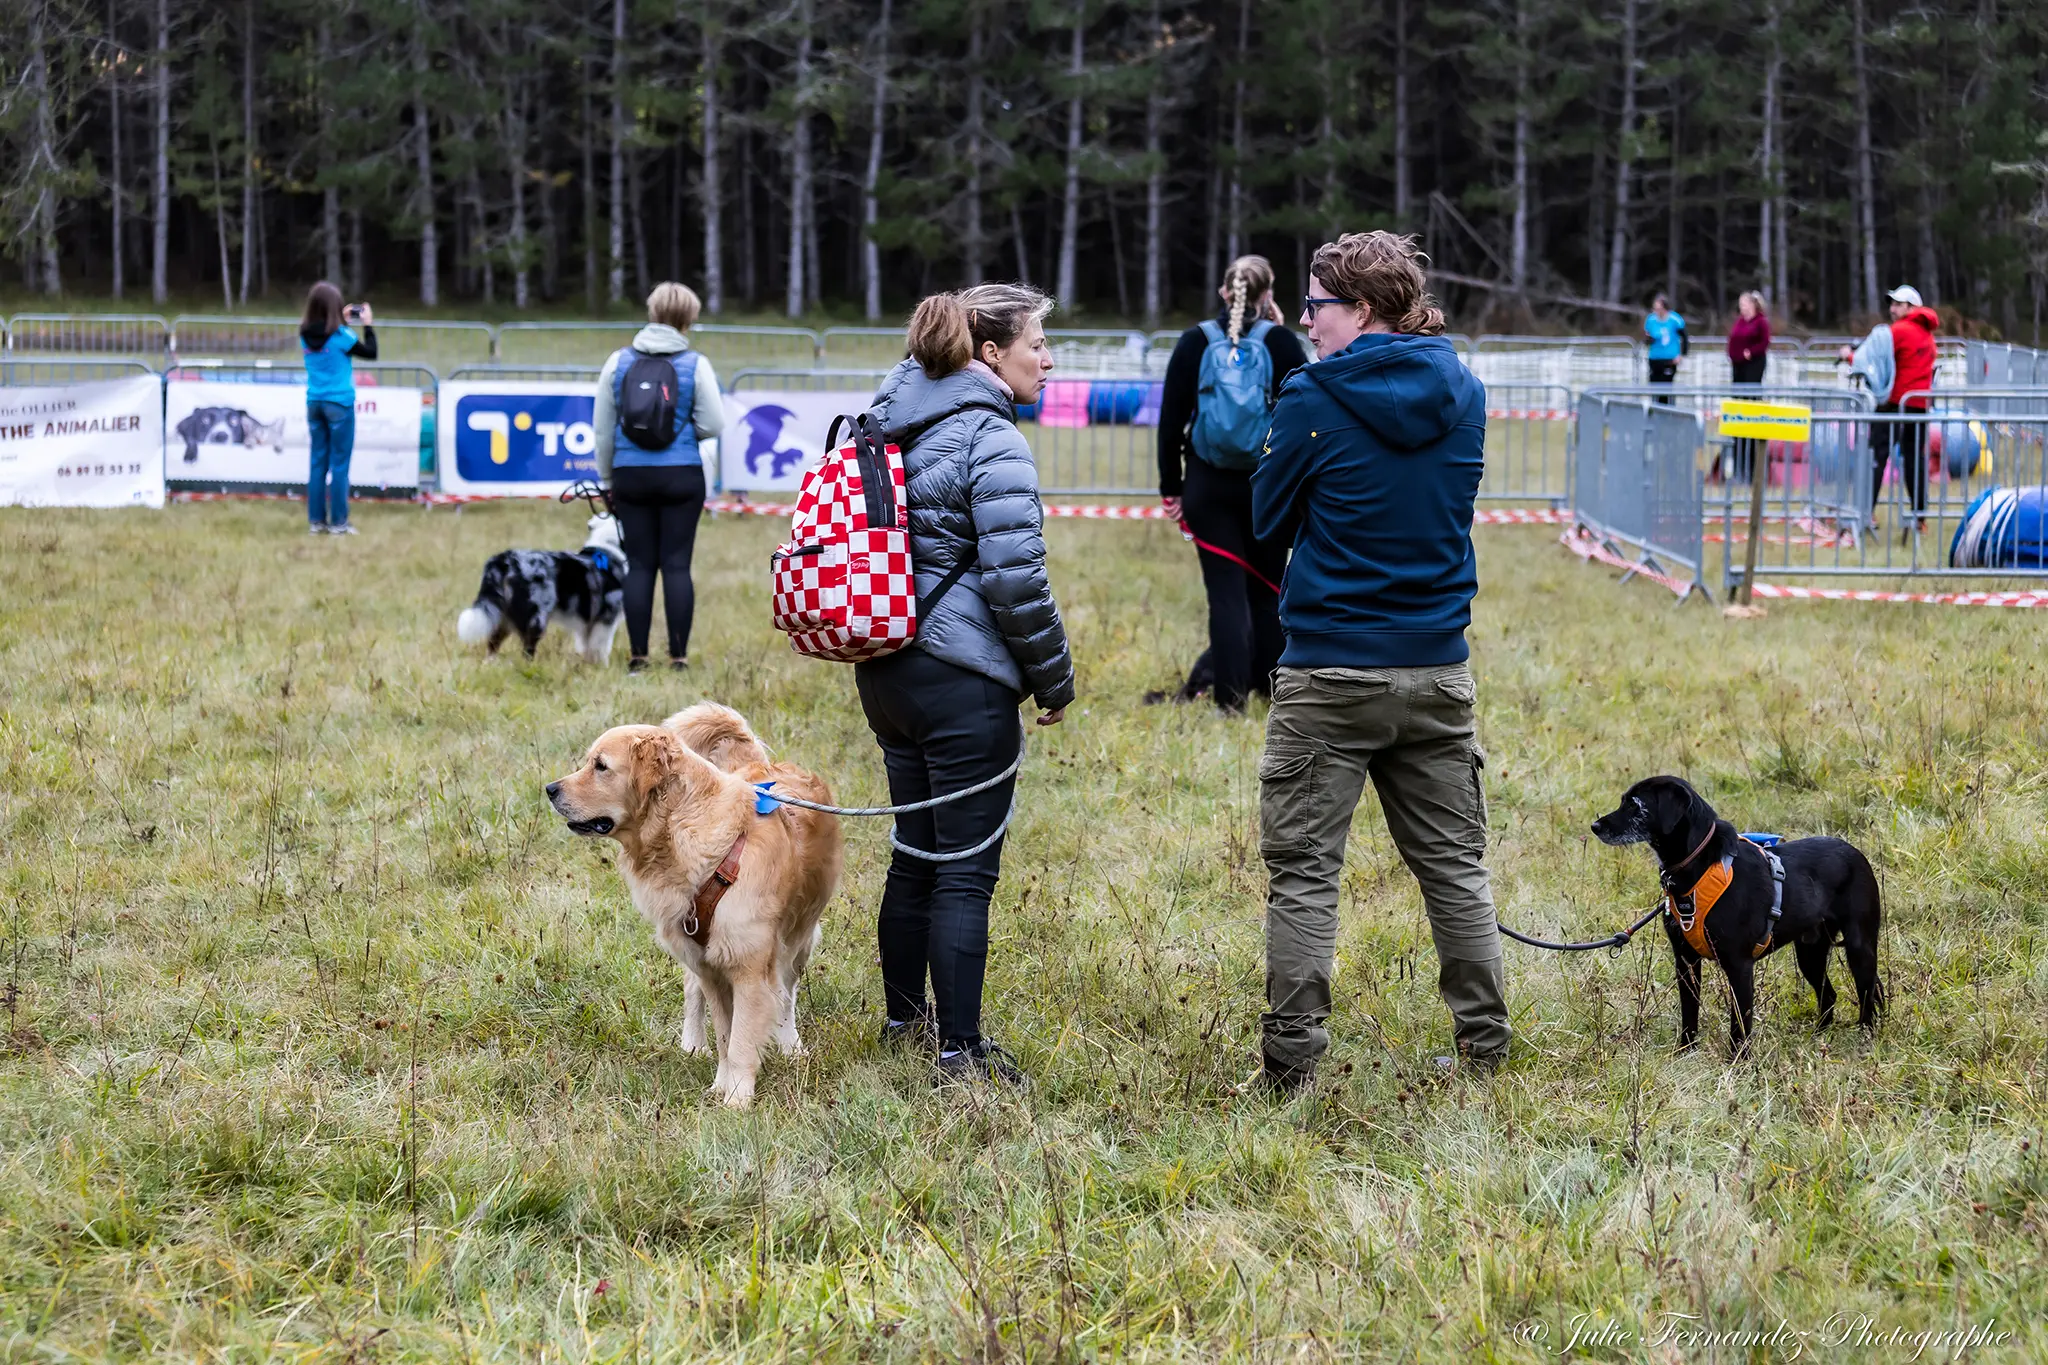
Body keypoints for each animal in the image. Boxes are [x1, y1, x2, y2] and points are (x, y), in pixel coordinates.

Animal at [1581, 777, 1884, 1055]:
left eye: (1635, 805)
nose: (1595, 827)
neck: (1696, 865)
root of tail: (1856, 853)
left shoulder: (1739, 964)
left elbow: (1740, 1021)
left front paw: (1738, 1061)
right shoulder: (1686, 960)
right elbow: (1689, 1013)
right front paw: (1685, 1053)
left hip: (1860, 947)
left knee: (1867, 993)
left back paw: (1866, 1040)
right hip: (1810, 953)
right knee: (1829, 996)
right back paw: (1818, 1039)